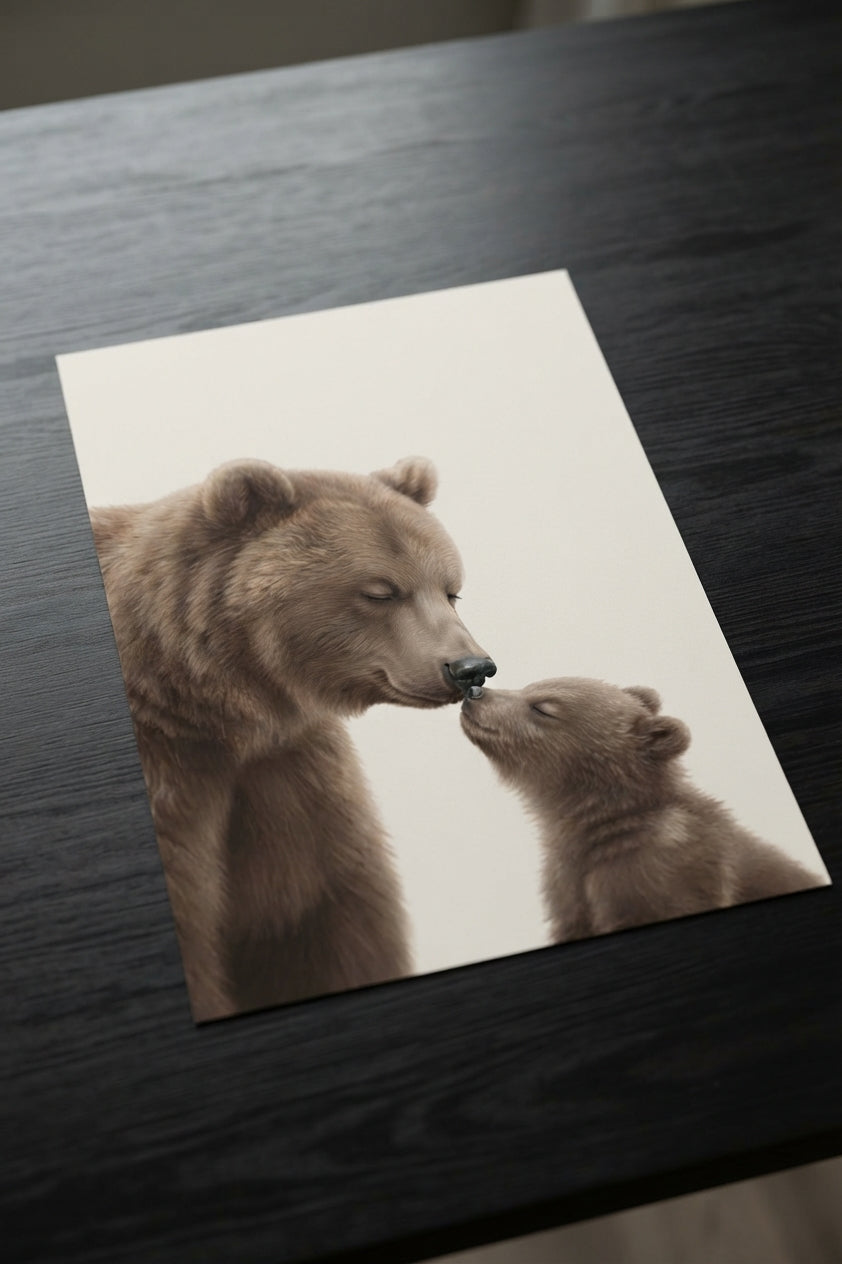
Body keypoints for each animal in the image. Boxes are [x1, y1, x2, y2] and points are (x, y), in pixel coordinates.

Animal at [91, 456, 495, 1021]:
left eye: (451, 589)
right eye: (381, 591)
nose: (471, 667)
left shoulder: (287, 776)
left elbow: (319, 921)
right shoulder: (174, 773)